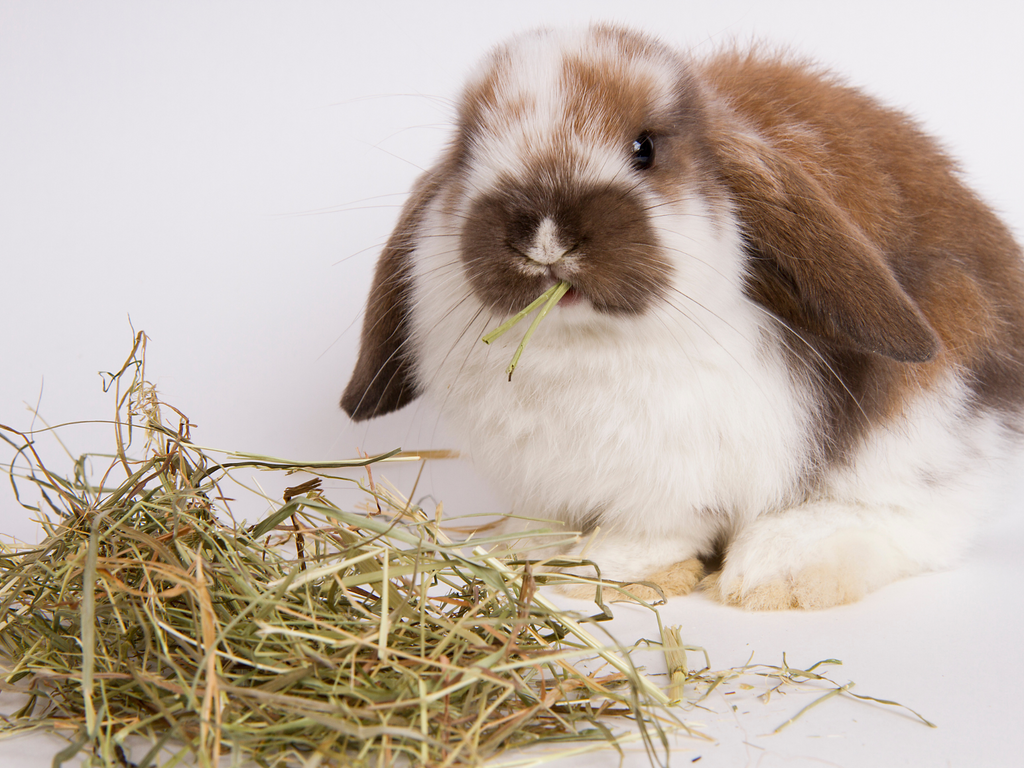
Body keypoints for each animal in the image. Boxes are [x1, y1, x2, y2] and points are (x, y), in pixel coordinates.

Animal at [339, 27, 1024, 610]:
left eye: (644, 148)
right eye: (467, 151)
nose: (545, 230)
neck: (579, 346)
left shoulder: (681, 467)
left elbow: (656, 527)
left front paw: (608, 568)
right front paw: (524, 547)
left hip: (928, 412)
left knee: (918, 512)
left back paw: (779, 568)